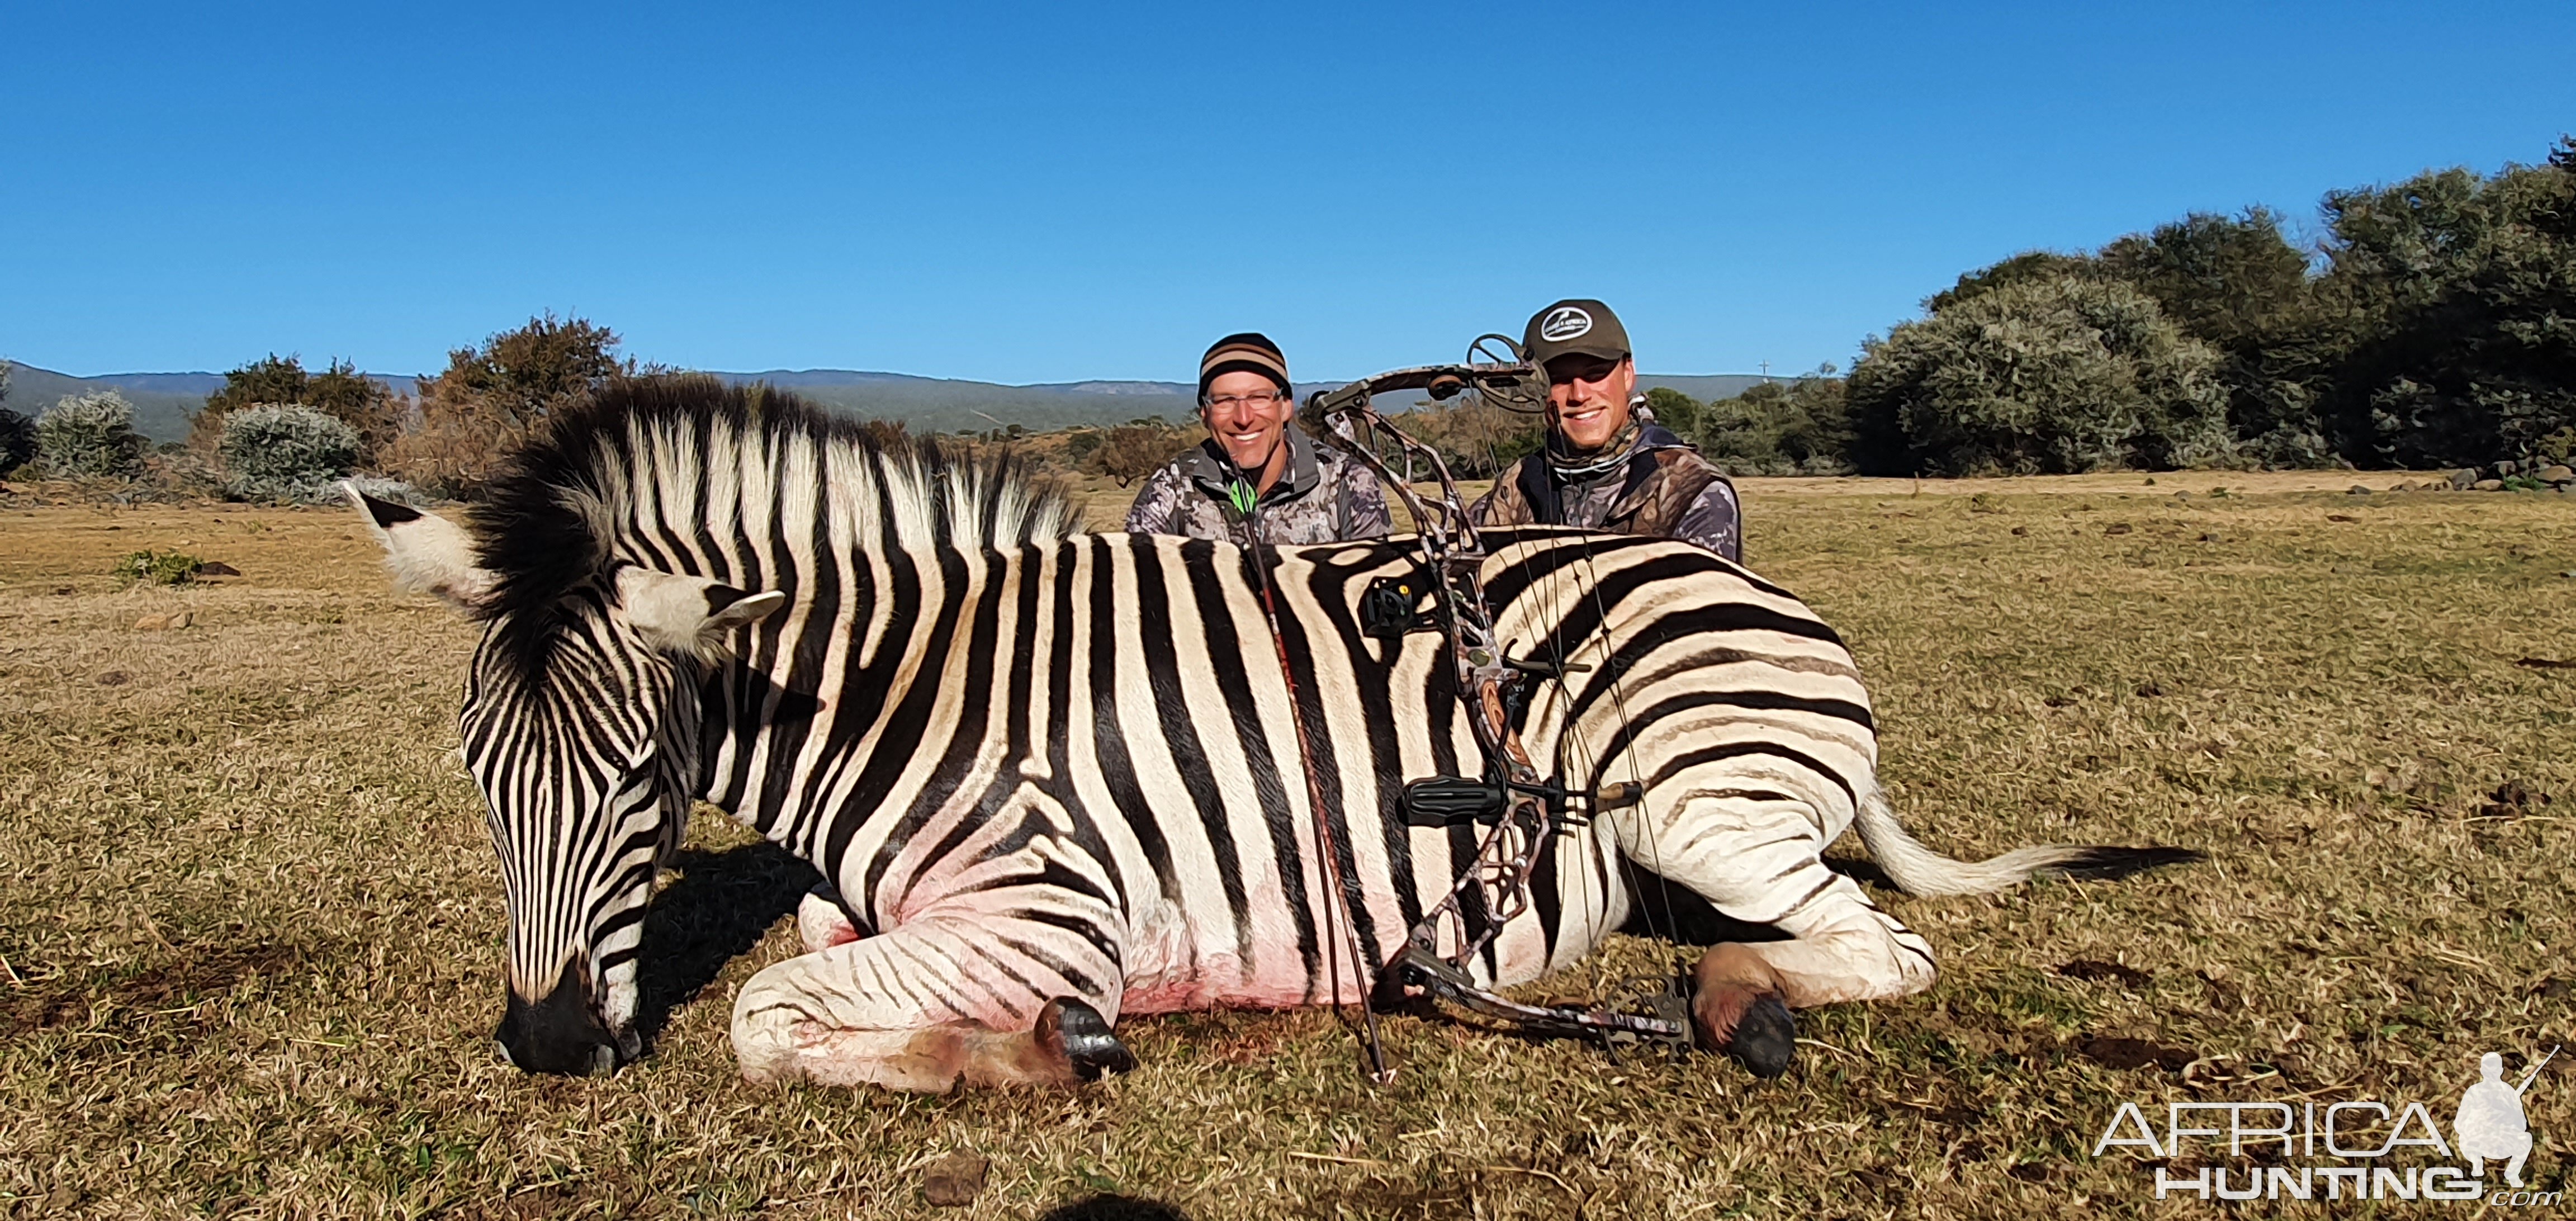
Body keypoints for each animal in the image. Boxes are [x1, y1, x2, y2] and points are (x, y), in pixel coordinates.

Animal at [348, 373, 2195, 1087]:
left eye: (638, 782)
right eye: (480, 781)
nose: (545, 1048)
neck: (889, 685)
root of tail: (1763, 595)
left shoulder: (1050, 909)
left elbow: (766, 1017)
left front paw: (1027, 1050)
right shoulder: (881, 898)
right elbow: (804, 948)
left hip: (1695, 805)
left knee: (1875, 953)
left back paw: (1722, 1001)